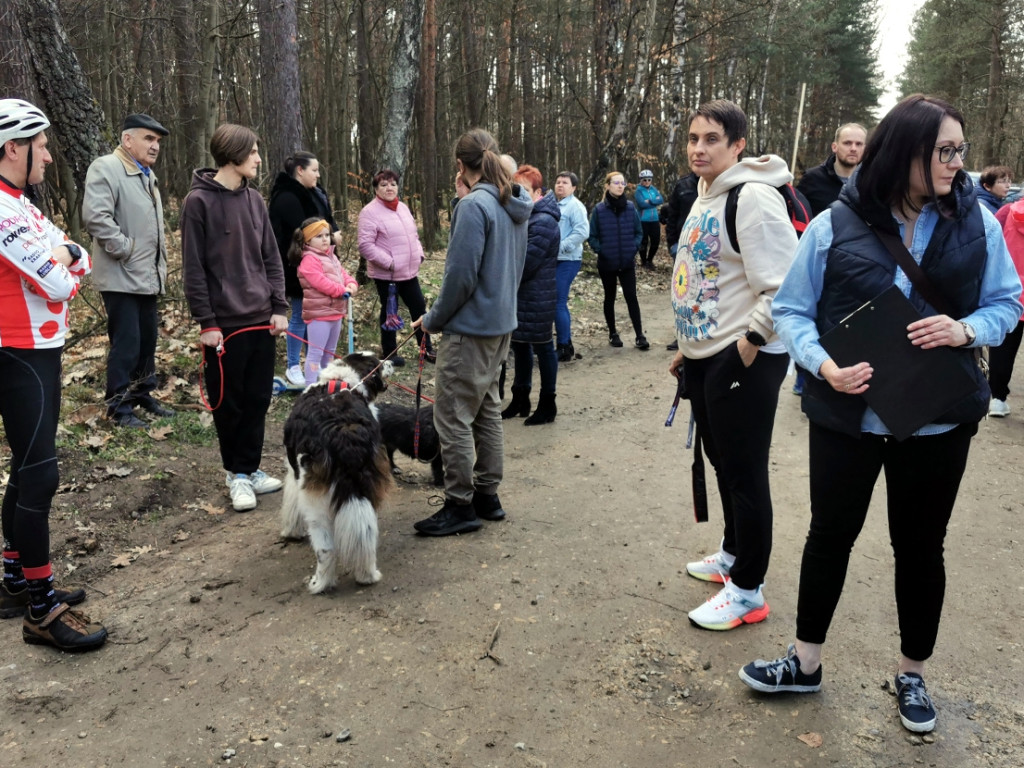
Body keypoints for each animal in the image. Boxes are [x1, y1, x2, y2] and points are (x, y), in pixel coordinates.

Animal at [280, 352, 391, 593]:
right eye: (378, 363)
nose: (391, 361)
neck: (340, 380)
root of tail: (342, 431)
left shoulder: (294, 475)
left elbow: (291, 506)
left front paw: (291, 532)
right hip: (365, 486)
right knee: (367, 534)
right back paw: (367, 576)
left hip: (314, 501)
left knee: (325, 549)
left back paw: (320, 583)